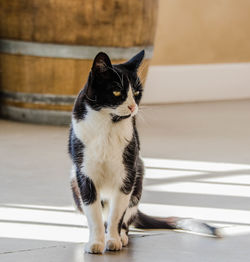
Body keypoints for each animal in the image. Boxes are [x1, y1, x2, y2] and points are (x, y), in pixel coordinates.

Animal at [68, 50, 221, 254]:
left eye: (137, 93)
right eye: (116, 91)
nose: (133, 107)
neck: (107, 125)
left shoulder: (128, 172)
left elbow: (117, 214)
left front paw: (114, 240)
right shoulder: (84, 172)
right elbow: (93, 213)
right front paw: (95, 243)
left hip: (139, 174)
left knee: (126, 216)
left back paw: (122, 236)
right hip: (73, 179)